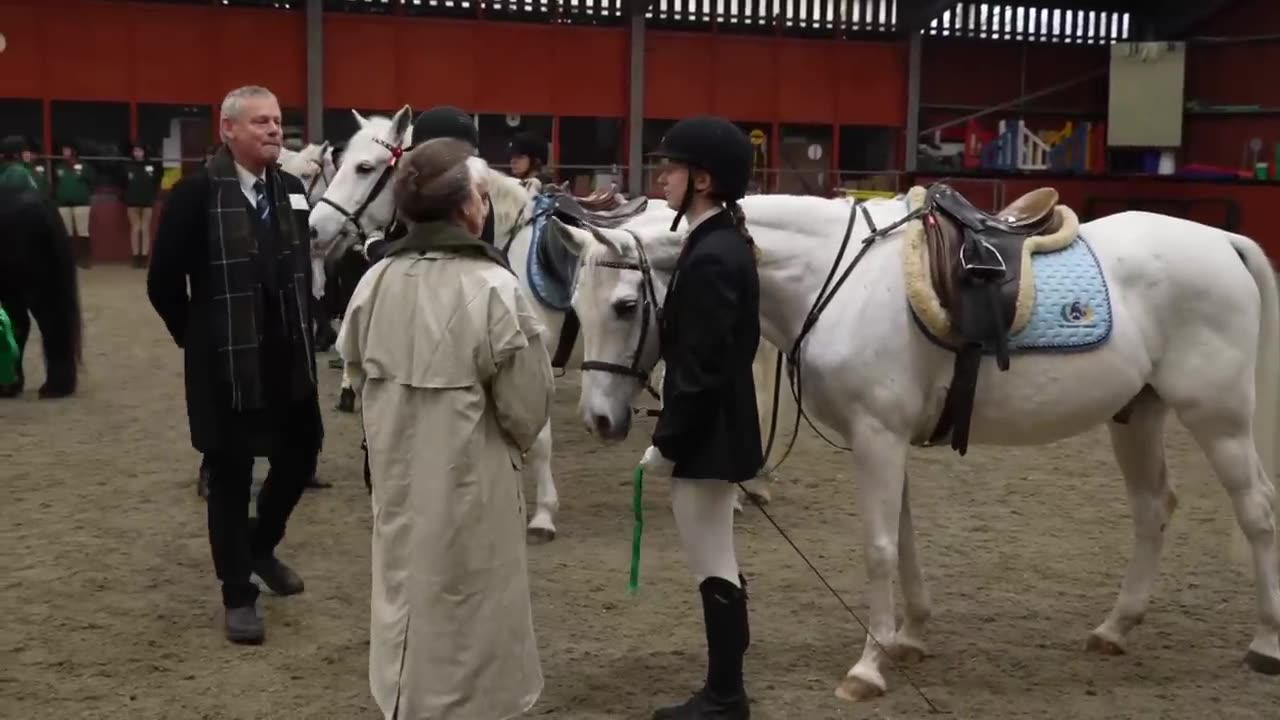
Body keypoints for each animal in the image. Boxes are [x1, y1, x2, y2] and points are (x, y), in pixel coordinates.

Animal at [552, 190, 1280, 702]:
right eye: (575, 308)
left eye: (625, 306)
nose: (599, 420)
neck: (833, 279)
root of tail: (1224, 241)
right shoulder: (886, 438)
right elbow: (901, 540)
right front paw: (907, 637)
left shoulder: (877, 436)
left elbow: (877, 548)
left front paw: (868, 667)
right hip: (1137, 415)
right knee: (1154, 507)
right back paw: (1114, 628)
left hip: (1217, 417)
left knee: (1256, 513)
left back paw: (1266, 642)